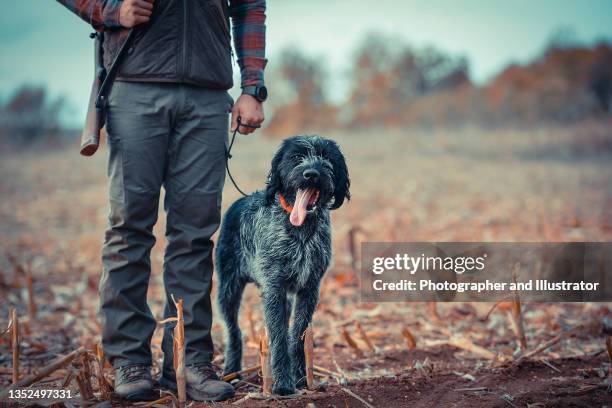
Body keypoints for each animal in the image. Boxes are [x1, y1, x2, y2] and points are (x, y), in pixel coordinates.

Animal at [215, 135, 350, 394]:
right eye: (296, 157)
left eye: (326, 157)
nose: (311, 174)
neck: (301, 230)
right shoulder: (273, 288)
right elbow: (277, 336)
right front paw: (283, 384)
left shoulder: (309, 289)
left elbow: (297, 335)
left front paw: (301, 378)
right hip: (228, 288)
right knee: (233, 330)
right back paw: (231, 372)